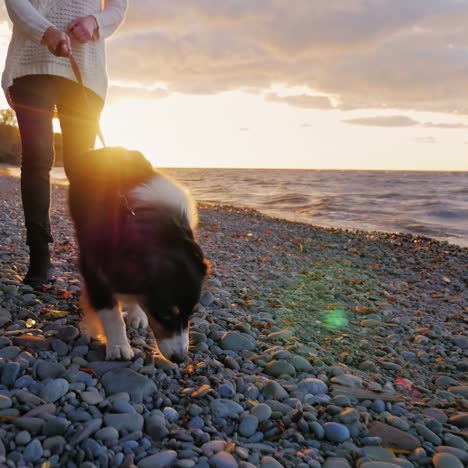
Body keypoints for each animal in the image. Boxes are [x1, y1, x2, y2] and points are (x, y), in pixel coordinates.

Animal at [67, 146, 208, 362]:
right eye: (165, 314)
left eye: (192, 313)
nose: (179, 358)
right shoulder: (93, 266)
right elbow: (111, 313)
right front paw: (118, 345)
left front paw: (137, 314)